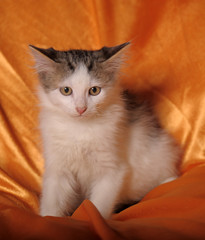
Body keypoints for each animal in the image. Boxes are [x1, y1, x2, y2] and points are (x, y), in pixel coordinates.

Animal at [29, 42, 180, 218]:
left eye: (94, 90)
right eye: (66, 90)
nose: (81, 108)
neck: (80, 129)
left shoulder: (112, 169)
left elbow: (99, 206)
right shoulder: (57, 167)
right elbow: (52, 203)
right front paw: (48, 218)